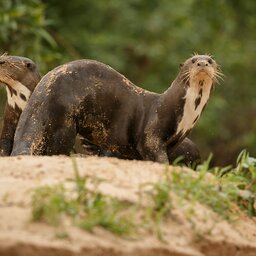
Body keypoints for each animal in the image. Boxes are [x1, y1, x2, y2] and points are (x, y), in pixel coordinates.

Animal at [11, 54, 220, 163]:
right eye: (193, 60)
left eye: (210, 60)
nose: (202, 63)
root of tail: (42, 95)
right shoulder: (152, 132)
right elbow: (152, 150)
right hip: (64, 119)